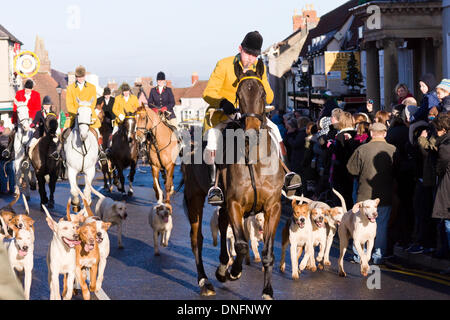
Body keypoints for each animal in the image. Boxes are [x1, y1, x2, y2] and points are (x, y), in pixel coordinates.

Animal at [181, 60, 284, 300]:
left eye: (263, 93)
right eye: (239, 94)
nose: (252, 132)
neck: (255, 160)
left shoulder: (273, 207)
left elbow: (267, 252)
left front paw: (267, 290)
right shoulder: (235, 204)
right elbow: (242, 245)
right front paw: (234, 272)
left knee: (220, 225)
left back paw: (220, 268)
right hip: (194, 199)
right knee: (197, 239)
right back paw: (205, 281)